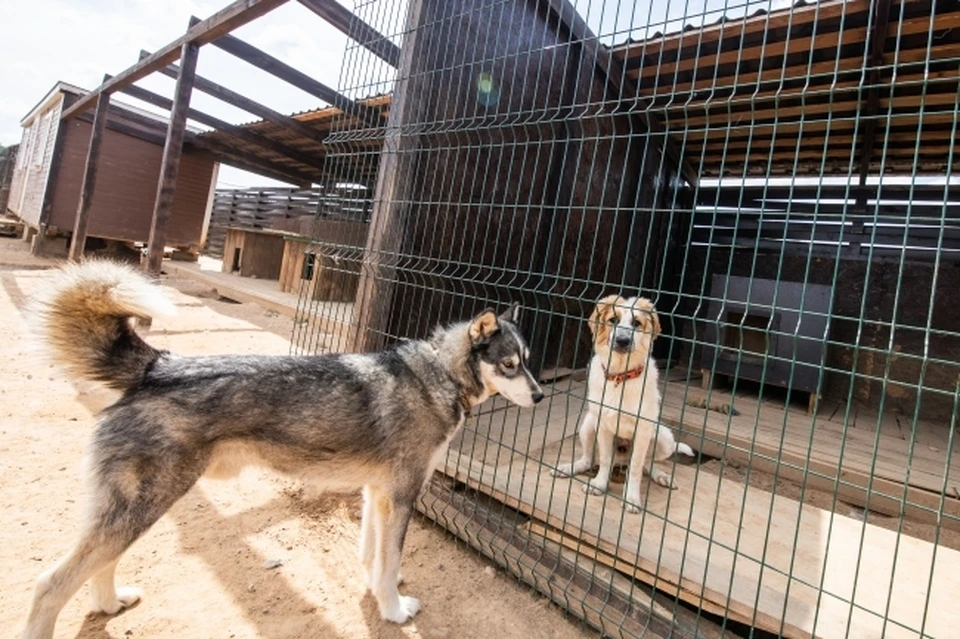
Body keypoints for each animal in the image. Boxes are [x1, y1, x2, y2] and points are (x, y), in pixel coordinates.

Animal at [22, 262, 544, 639]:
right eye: (509, 365)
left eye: (529, 362)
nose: (541, 396)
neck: (438, 375)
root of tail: (158, 366)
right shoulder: (400, 497)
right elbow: (389, 557)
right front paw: (394, 611)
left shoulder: (377, 495)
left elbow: (375, 557)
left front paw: (382, 589)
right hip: (144, 506)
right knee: (51, 585)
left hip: (133, 512)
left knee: (97, 565)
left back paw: (111, 603)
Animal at [552, 296, 692, 516]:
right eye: (613, 320)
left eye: (637, 323)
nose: (622, 340)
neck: (621, 376)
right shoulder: (602, 424)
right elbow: (605, 459)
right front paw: (599, 484)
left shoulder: (643, 430)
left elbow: (635, 468)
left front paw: (631, 497)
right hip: (588, 424)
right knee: (589, 460)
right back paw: (568, 468)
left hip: (664, 438)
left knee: (645, 463)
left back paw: (662, 476)